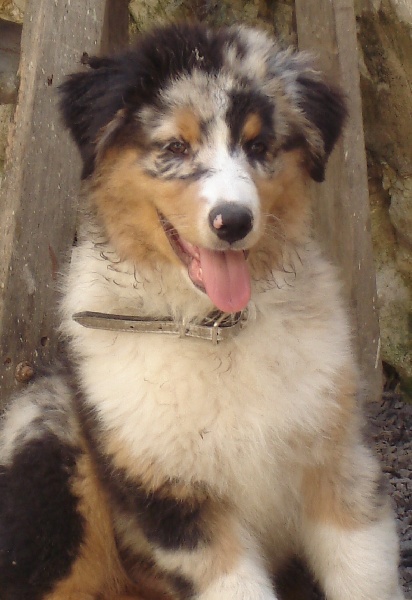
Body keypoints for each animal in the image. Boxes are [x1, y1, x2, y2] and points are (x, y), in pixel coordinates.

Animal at [0, 22, 405, 600]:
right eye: (175, 146)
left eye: (258, 146)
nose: (233, 221)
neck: (215, 330)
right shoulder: (173, 500)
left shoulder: (337, 459)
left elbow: (364, 572)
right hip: (49, 432)